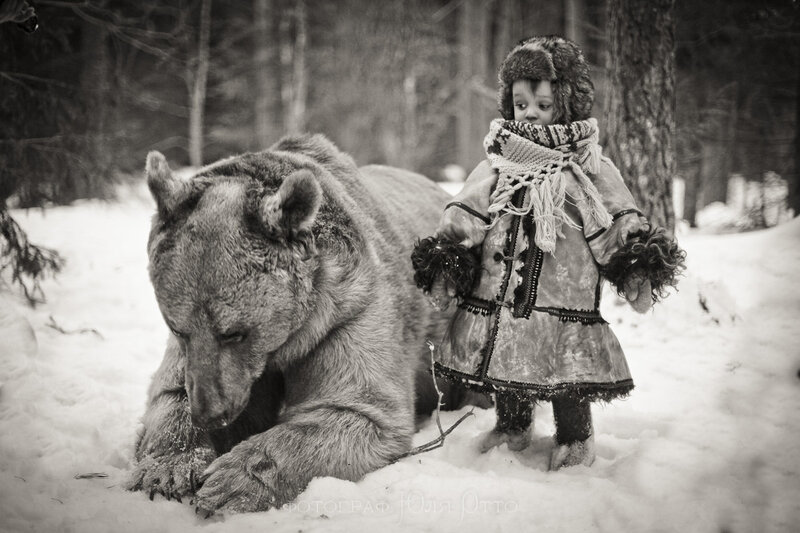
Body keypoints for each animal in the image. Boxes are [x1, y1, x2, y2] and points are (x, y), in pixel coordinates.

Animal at [127, 134, 469, 515]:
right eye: (177, 327)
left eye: (234, 332)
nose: (210, 414)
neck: (285, 341)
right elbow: (168, 393)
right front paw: (169, 467)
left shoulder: (347, 314)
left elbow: (358, 410)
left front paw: (229, 482)